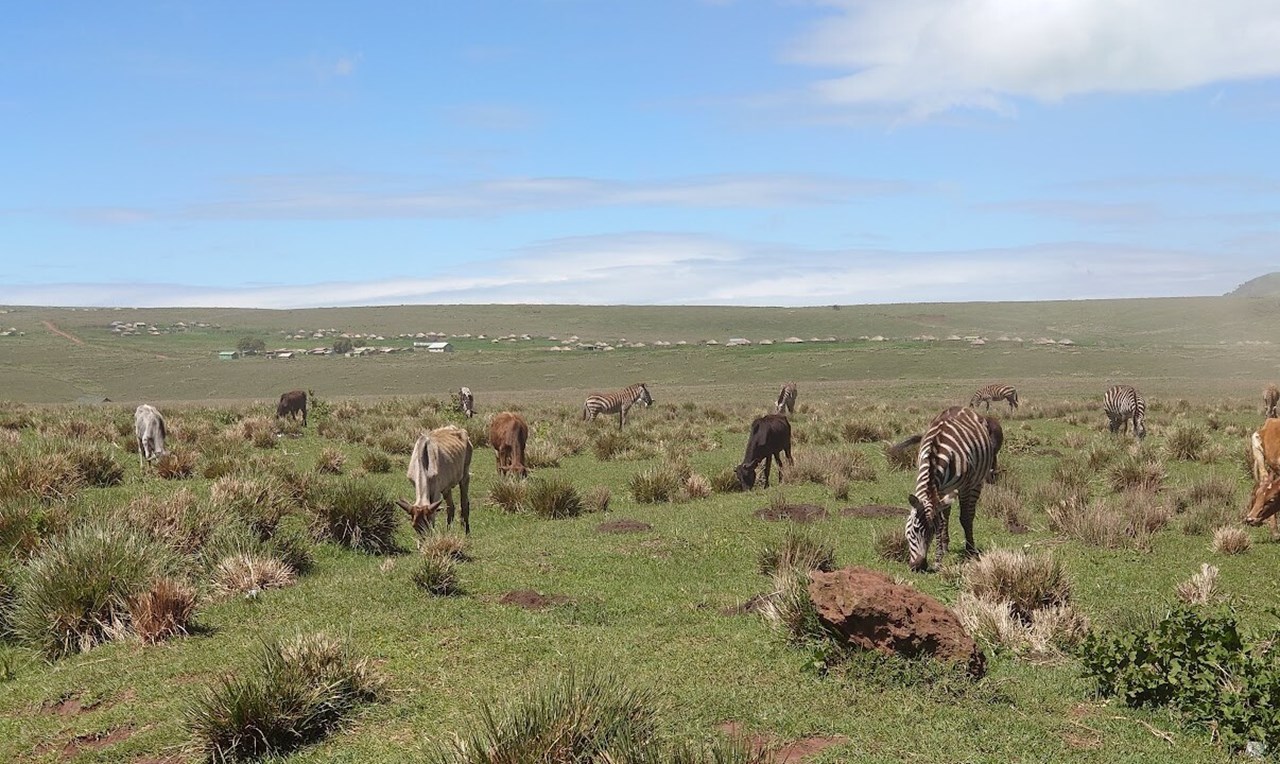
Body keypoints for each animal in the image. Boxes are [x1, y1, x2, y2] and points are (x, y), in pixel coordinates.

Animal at [901, 406, 998, 568]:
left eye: (931, 533)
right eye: (914, 530)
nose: (919, 566)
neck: (934, 456)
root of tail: (961, 408)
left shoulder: (964, 488)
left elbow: (964, 518)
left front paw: (968, 552)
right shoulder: (939, 491)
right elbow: (942, 521)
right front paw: (940, 555)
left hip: (976, 482)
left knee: (969, 515)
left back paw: (970, 548)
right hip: (946, 490)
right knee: (946, 515)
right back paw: (946, 545)